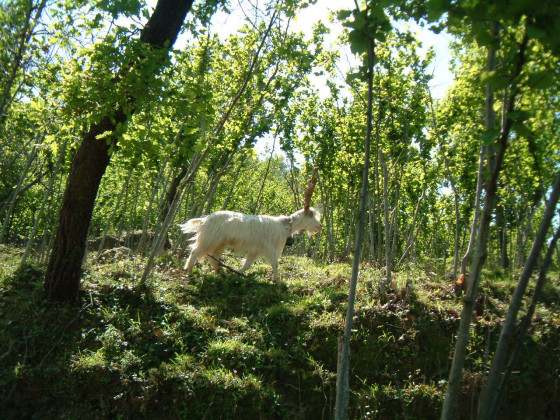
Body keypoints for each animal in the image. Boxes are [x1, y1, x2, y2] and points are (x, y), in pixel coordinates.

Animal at [179, 207, 320, 282]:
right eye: (311, 216)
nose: (320, 226)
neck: (284, 225)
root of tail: (204, 219)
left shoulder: (255, 250)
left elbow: (247, 264)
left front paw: (237, 274)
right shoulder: (270, 248)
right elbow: (275, 264)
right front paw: (278, 282)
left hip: (219, 242)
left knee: (213, 257)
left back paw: (222, 272)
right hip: (209, 239)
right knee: (195, 251)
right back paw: (189, 271)